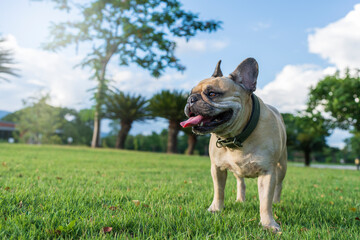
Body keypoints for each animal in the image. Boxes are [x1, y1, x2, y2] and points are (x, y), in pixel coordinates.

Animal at [181, 57, 288, 232]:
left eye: (212, 93)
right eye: (191, 93)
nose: (191, 99)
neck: (236, 136)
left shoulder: (267, 172)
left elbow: (265, 202)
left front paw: (268, 224)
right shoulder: (217, 168)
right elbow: (219, 191)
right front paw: (216, 209)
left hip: (282, 166)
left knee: (278, 185)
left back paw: (277, 202)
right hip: (237, 171)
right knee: (240, 182)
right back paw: (240, 199)